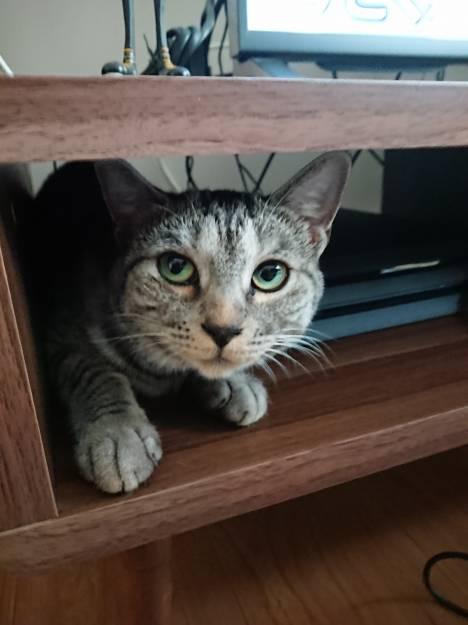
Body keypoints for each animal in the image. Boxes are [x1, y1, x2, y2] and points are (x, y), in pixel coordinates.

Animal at [29, 152, 350, 494]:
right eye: (175, 267)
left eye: (269, 274)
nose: (223, 330)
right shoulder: (61, 335)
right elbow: (95, 372)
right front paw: (117, 433)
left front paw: (234, 383)